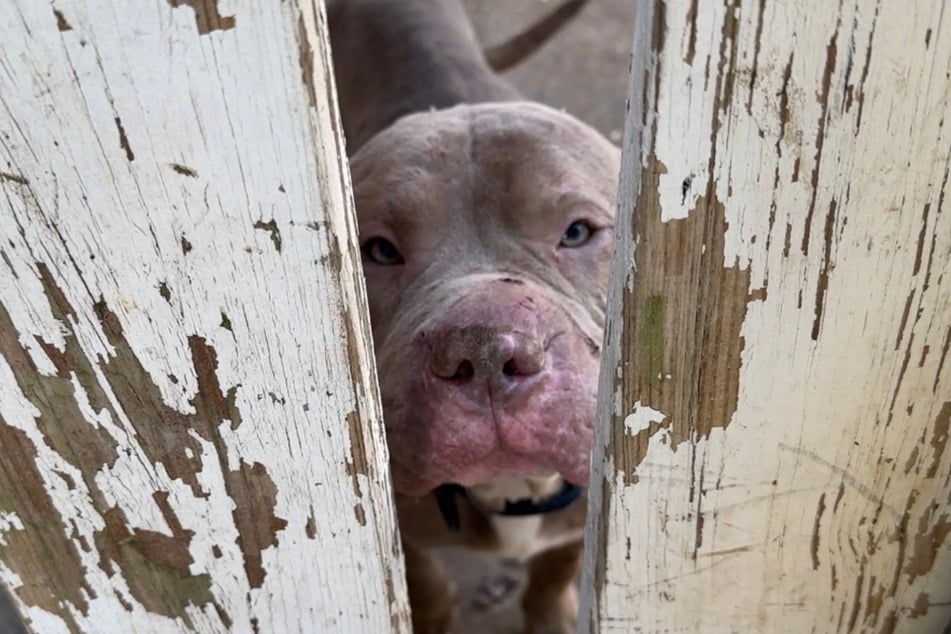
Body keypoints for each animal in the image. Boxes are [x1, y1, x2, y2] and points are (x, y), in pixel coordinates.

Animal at [330, 2, 624, 628]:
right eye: (379, 250)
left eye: (577, 231)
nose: (485, 349)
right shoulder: (405, 531)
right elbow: (426, 586)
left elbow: (555, 570)